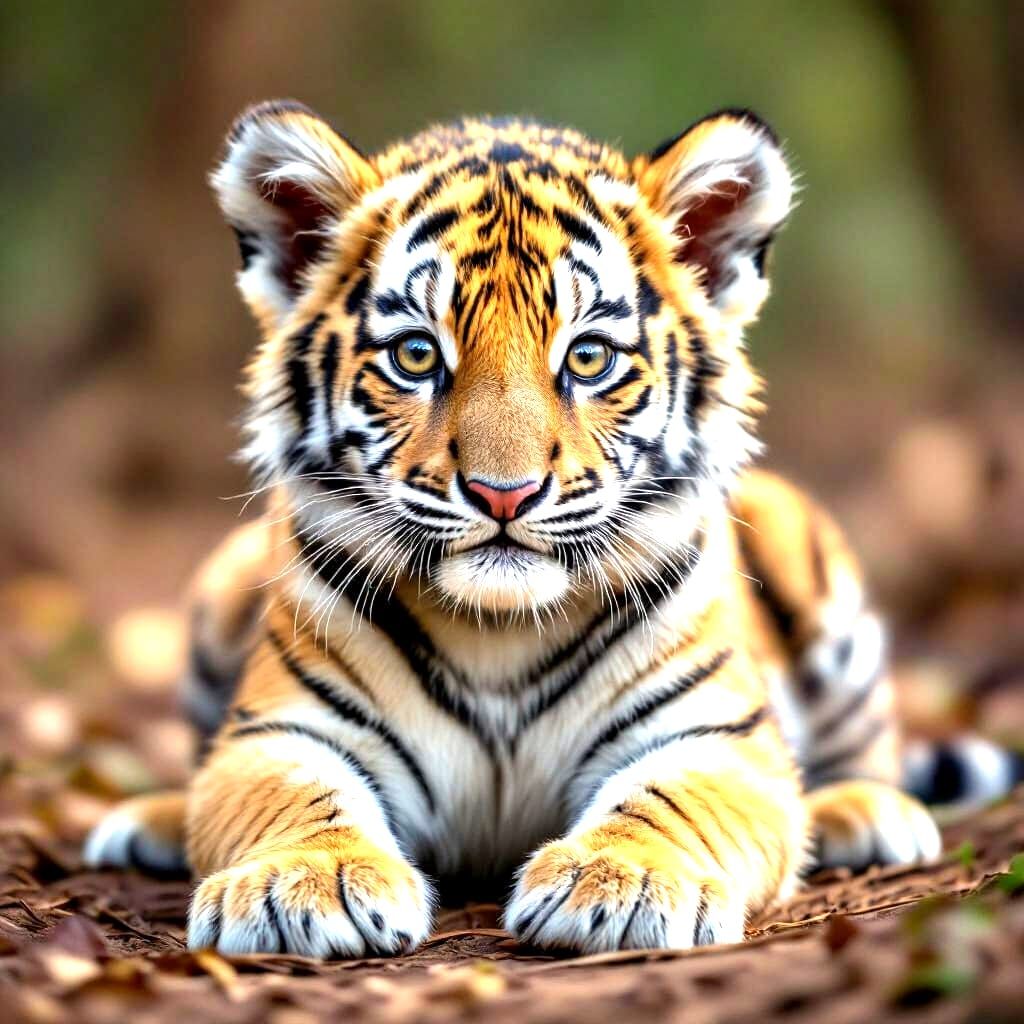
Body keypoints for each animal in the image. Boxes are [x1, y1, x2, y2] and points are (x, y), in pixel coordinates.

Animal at [84, 101, 1022, 958]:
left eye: (589, 358)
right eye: (416, 356)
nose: (505, 494)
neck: (497, 634)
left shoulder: (715, 737)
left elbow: (672, 800)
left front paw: (624, 881)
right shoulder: (283, 731)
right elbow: (287, 796)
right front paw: (303, 880)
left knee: (860, 755)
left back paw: (869, 809)